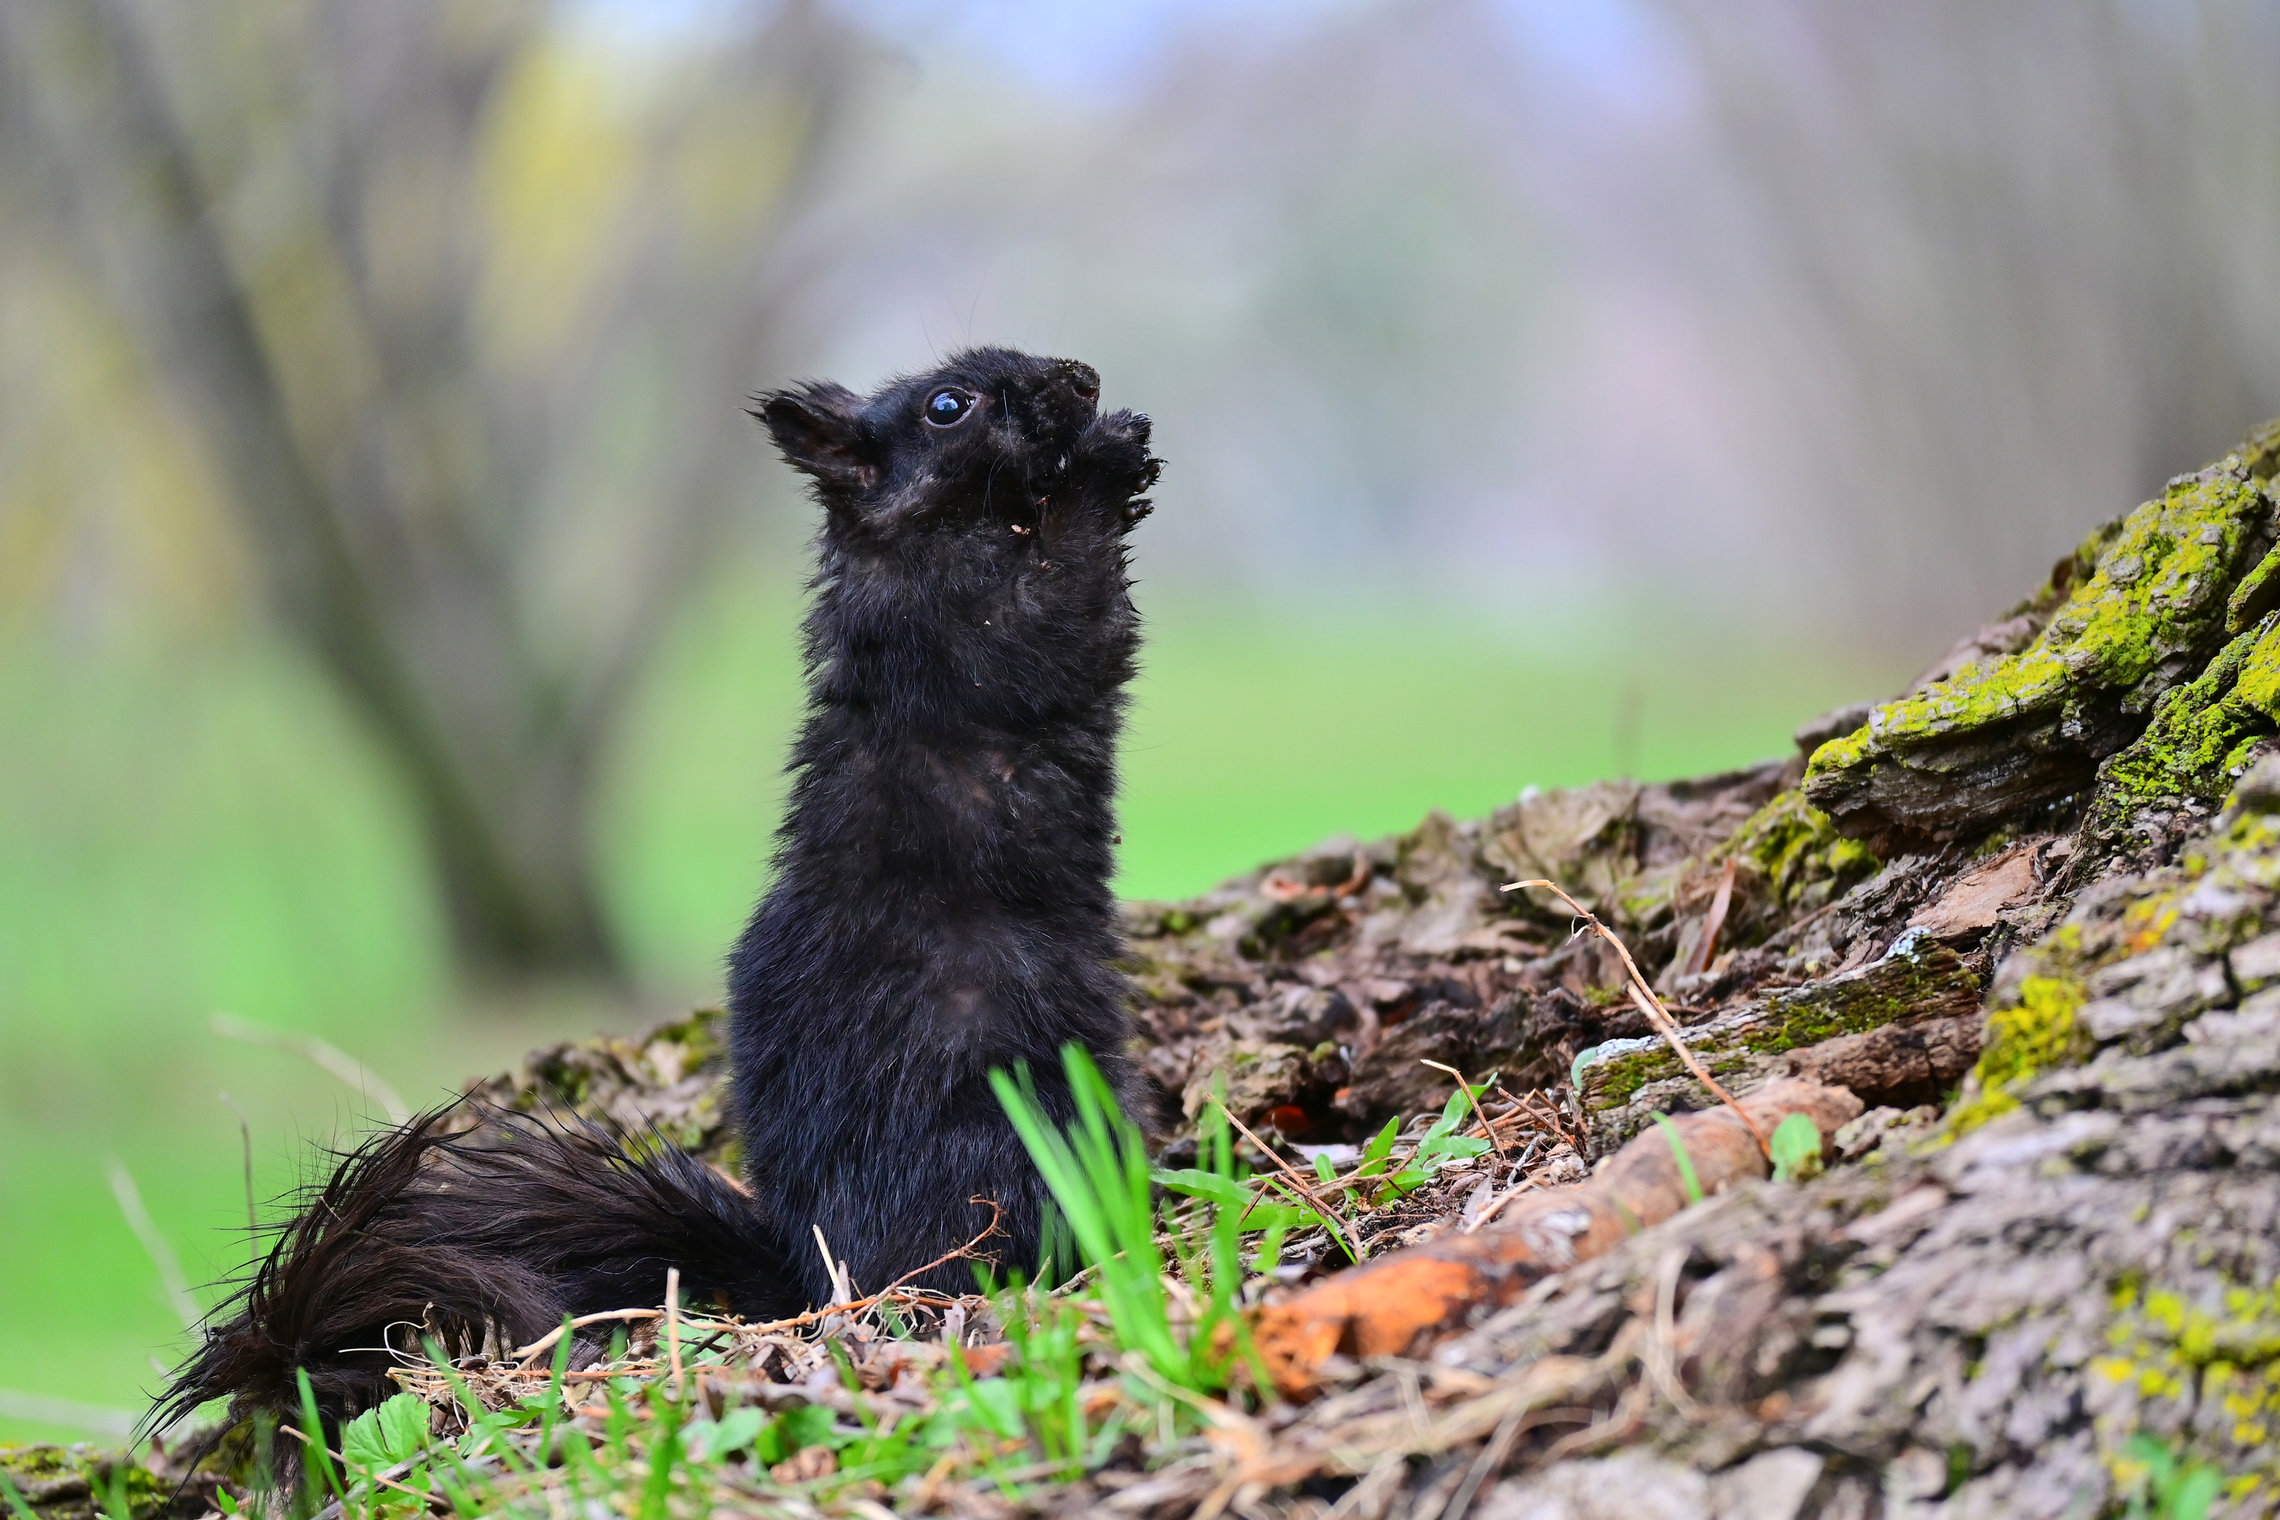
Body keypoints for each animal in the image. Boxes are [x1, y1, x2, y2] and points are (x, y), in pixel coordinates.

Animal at [158, 350, 1158, 1449]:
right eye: (949, 405)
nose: (1081, 377)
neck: (930, 534)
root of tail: (811, 1271)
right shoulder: (962, 630)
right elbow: (1059, 606)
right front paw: (1106, 465)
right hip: (1006, 1134)